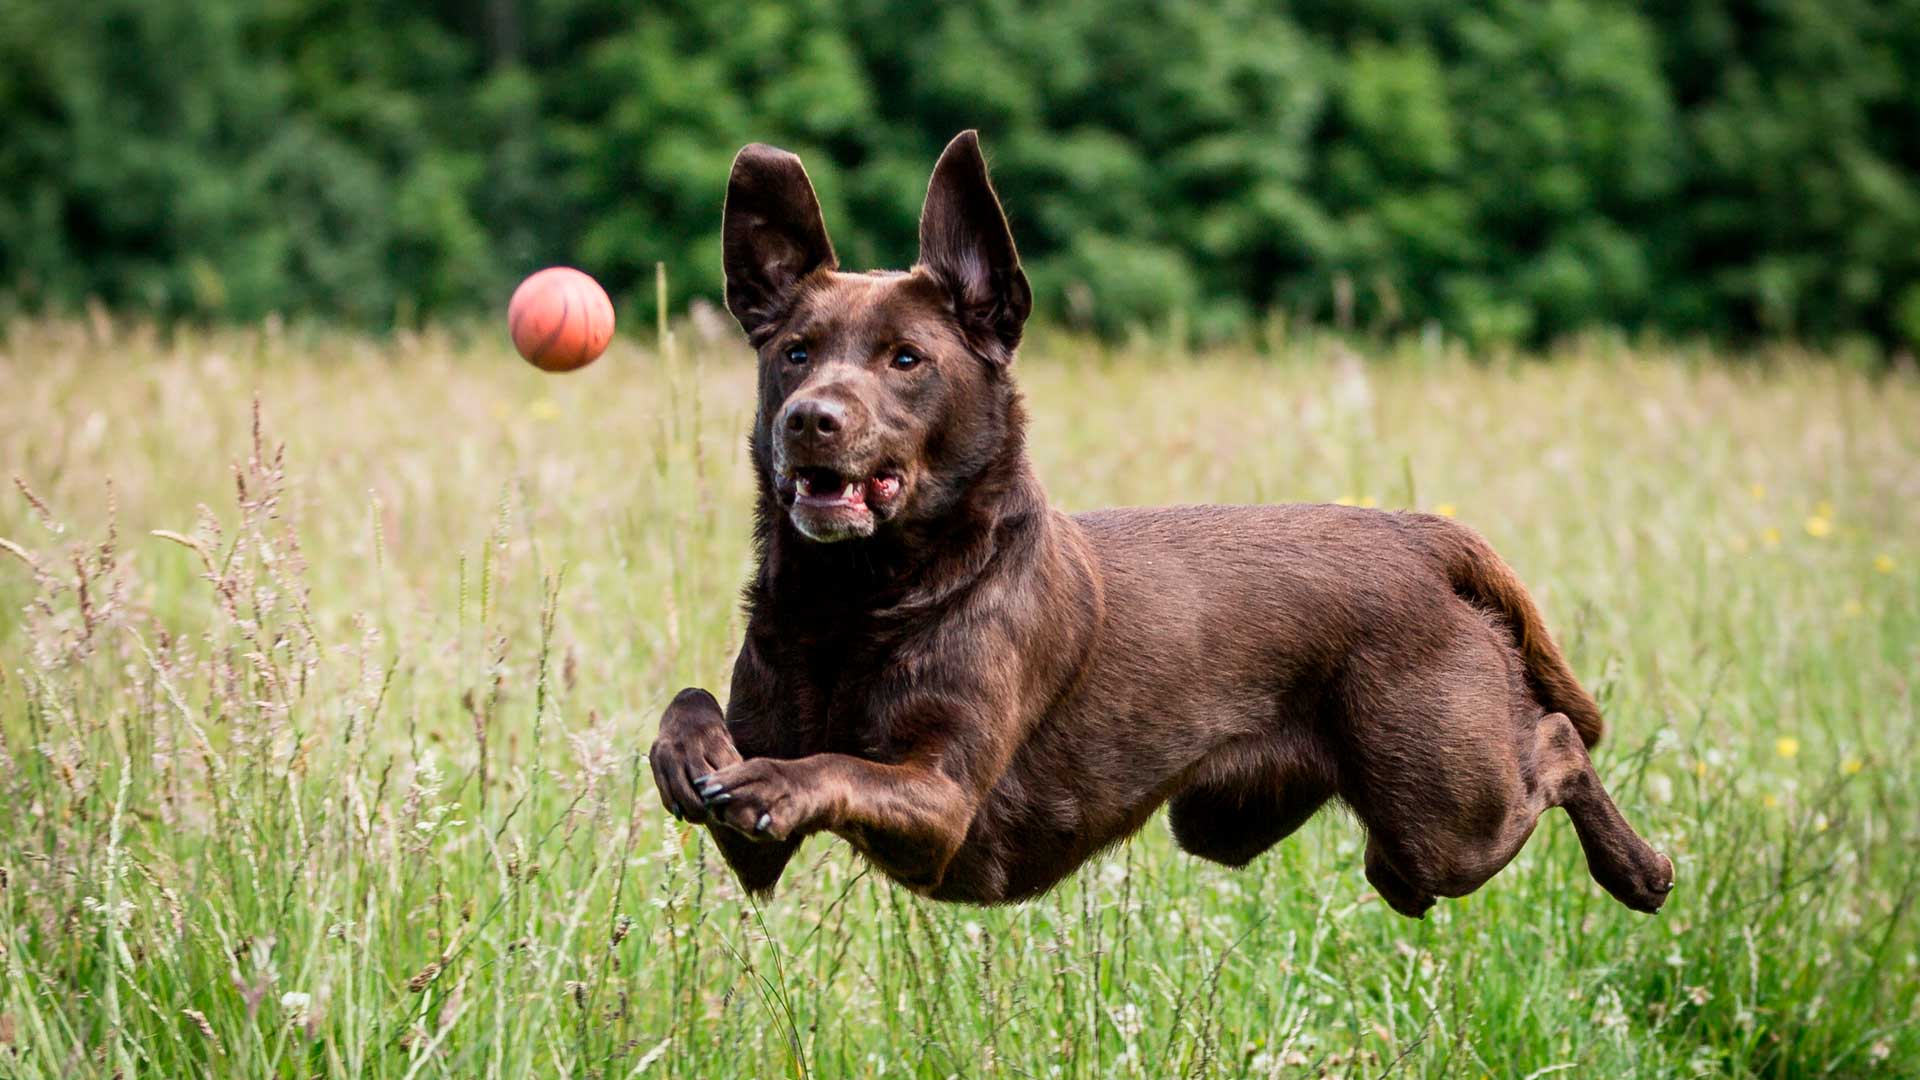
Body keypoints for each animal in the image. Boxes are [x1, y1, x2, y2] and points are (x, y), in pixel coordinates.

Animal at [645, 130, 1666, 910]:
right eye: (794, 352)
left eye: (906, 359)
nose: (808, 418)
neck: (858, 599)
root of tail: (1417, 533)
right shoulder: (756, 850)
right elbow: (694, 707)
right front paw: (685, 756)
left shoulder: (940, 802)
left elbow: (833, 768)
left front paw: (772, 777)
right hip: (1289, 830)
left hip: (1446, 814)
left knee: (1558, 745)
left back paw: (1641, 871)